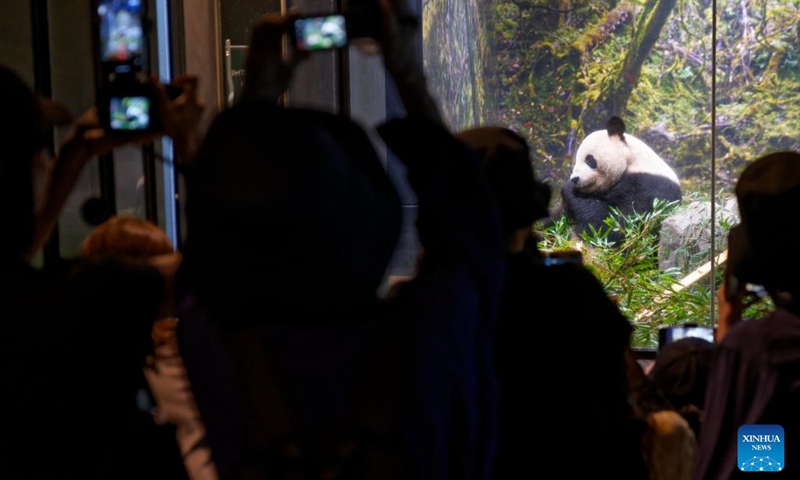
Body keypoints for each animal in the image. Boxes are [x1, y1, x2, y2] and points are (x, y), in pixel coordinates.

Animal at [560, 116, 684, 244]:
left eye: (589, 159)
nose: (575, 179)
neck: (632, 161)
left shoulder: (650, 187)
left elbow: (618, 224)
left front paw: (568, 188)